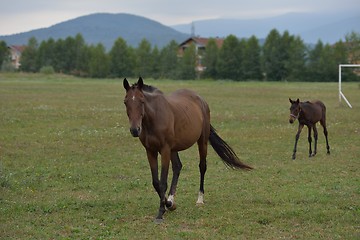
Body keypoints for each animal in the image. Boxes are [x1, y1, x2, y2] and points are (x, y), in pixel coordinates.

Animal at [122, 77, 252, 223]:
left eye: (142, 101)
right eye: (125, 102)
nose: (135, 130)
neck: (154, 117)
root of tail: (200, 99)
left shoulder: (165, 150)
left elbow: (162, 182)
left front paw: (161, 213)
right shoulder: (150, 151)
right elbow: (156, 182)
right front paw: (168, 204)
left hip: (202, 141)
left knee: (202, 166)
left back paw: (200, 199)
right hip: (174, 148)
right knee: (178, 166)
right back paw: (171, 201)